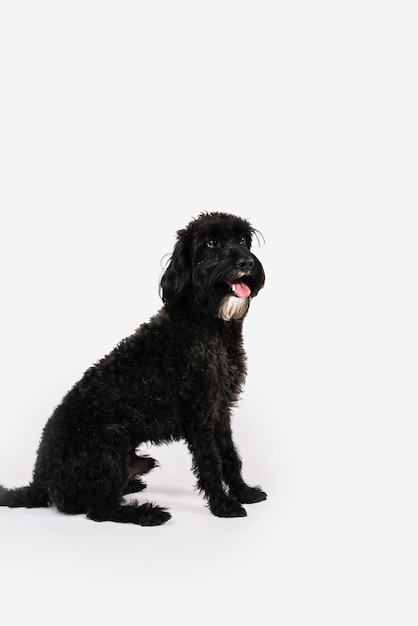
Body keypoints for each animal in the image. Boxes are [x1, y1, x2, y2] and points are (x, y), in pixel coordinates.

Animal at [0, 212, 266, 524]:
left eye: (243, 240)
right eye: (211, 243)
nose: (246, 263)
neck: (208, 324)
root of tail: (39, 480)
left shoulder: (220, 408)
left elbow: (230, 456)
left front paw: (244, 492)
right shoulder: (199, 413)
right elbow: (210, 460)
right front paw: (223, 506)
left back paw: (132, 486)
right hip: (110, 437)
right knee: (98, 510)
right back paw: (146, 513)